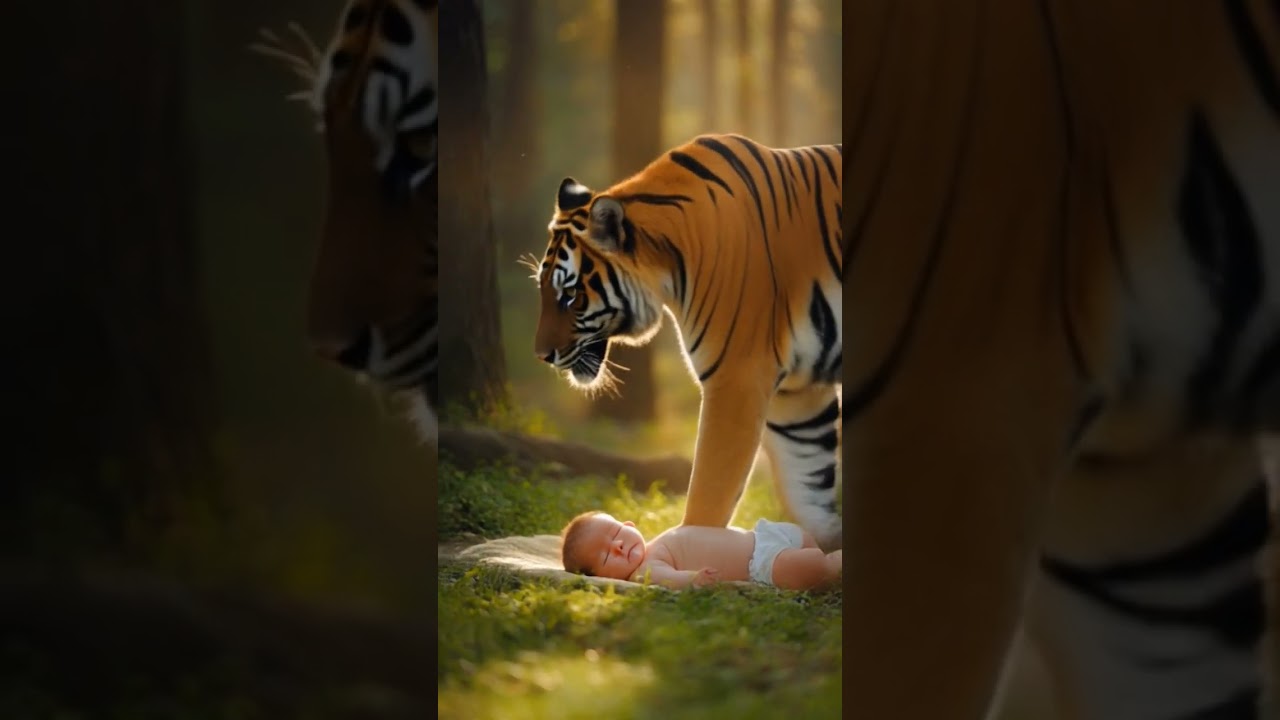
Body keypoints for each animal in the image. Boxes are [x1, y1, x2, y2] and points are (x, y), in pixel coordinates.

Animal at [528, 133, 844, 552]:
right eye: (544, 291)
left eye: (569, 295)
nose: (541, 356)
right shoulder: (797, 397)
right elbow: (807, 493)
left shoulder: (737, 379)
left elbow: (709, 496)